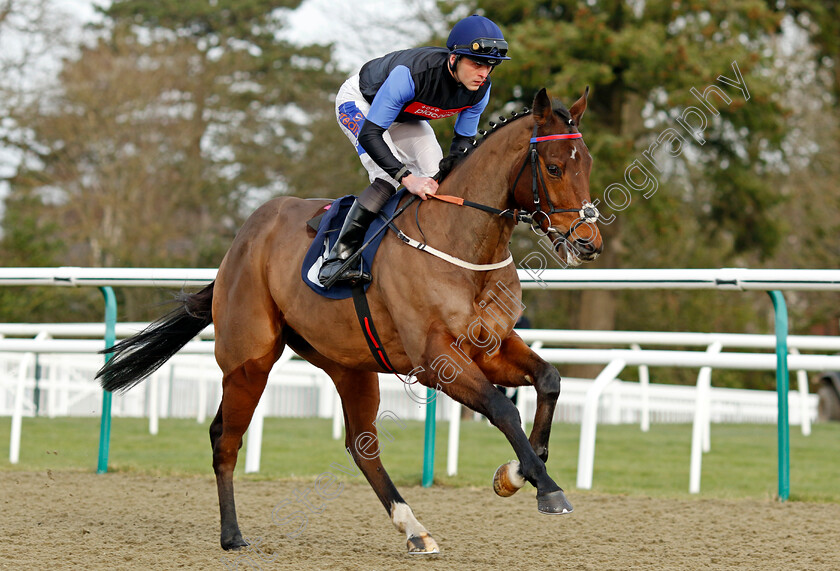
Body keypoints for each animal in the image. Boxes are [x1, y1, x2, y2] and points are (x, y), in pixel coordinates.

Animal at [95, 88, 600, 556]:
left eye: (588, 164)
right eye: (554, 167)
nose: (588, 241)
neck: (460, 243)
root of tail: (242, 239)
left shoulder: (489, 346)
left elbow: (549, 380)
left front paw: (519, 471)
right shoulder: (435, 361)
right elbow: (503, 408)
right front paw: (545, 487)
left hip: (349, 365)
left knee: (361, 445)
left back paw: (414, 529)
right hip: (249, 361)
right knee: (226, 438)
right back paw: (233, 535)